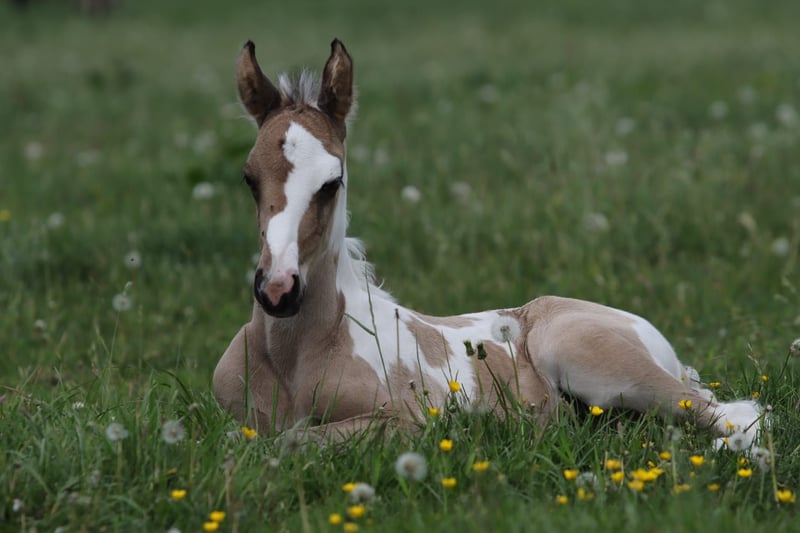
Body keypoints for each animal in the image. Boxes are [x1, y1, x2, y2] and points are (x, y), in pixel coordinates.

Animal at [213, 39, 763, 447]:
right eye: (248, 178)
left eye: (332, 182)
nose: (278, 291)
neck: (299, 354)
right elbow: (250, 440)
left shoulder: (408, 421)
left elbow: (290, 441)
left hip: (588, 354)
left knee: (737, 414)